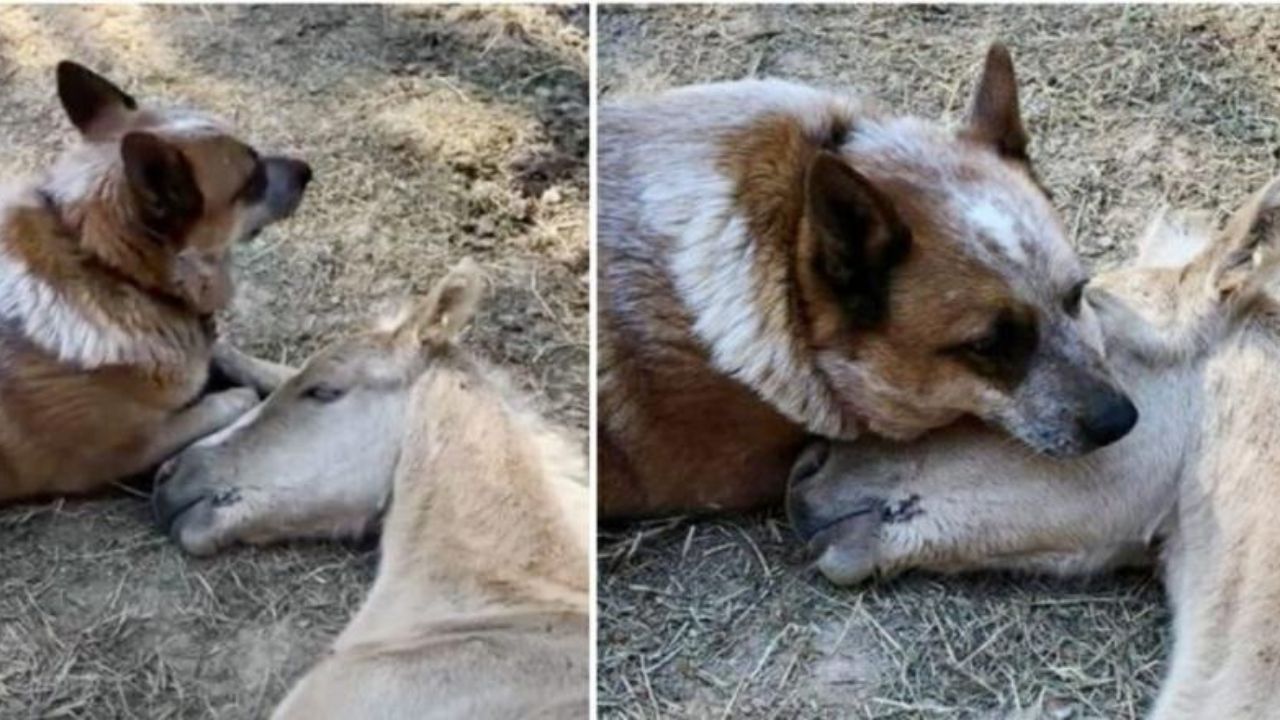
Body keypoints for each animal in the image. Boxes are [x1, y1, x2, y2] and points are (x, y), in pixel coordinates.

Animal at [0, 61, 309, 499]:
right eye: (251, 181)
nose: (308, 171)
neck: (109, 268)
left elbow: (230, 354)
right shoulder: (118, 453)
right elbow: (229, 400)